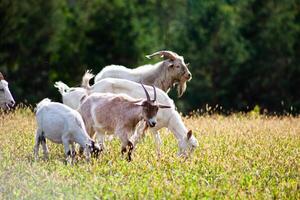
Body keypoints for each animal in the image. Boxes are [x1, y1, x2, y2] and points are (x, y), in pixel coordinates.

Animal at [54, 71, 199, 157]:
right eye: (191, 146)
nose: (185, 160)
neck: (169, 117)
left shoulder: (154, 127)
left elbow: (155, 142)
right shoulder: (146, 125)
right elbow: (141, 140)